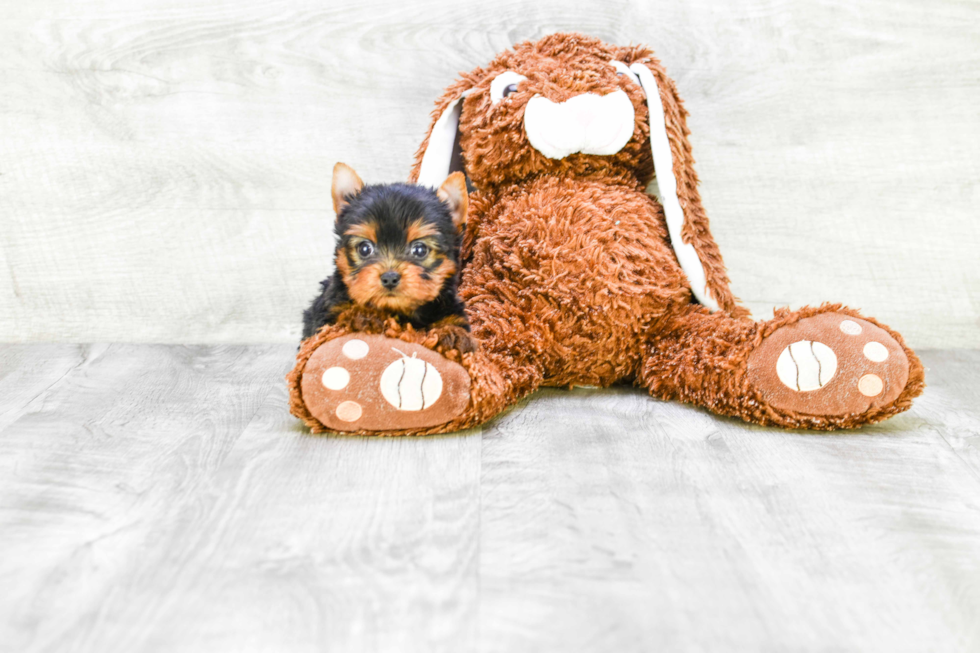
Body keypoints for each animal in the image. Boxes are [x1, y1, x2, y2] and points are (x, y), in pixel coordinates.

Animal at [304, 160, 476, 348]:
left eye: (420, 250)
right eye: (365, 249)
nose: (390, 278)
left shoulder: (450, 308)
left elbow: (453, 321)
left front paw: (454, 334)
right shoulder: (328, 311)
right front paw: (365, 315)